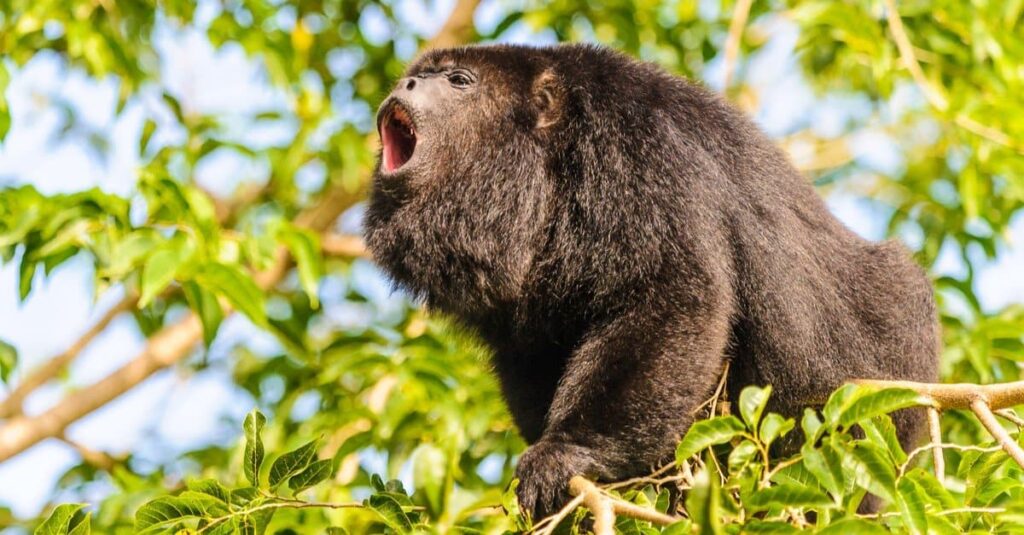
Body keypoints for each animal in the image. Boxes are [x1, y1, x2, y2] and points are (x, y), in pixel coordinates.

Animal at [364, 43, 937, 518]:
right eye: (417, 76)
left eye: (459, 80)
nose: (406, 84)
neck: (541, 164)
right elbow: (531, 350)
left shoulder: (639, 152)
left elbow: (673, 297)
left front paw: (568, 452)